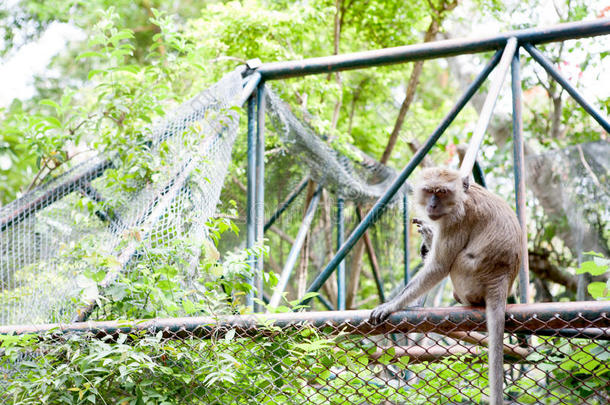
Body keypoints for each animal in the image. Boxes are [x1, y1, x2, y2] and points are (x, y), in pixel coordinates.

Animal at [368, 166, 520, 402]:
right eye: (430, 191)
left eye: (441, 192)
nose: (432, 204)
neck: (463, 196)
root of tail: (501, 280)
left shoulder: (455, 219)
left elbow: (440, 266)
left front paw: (392, 305)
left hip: (469, 278)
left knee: (456, 261)